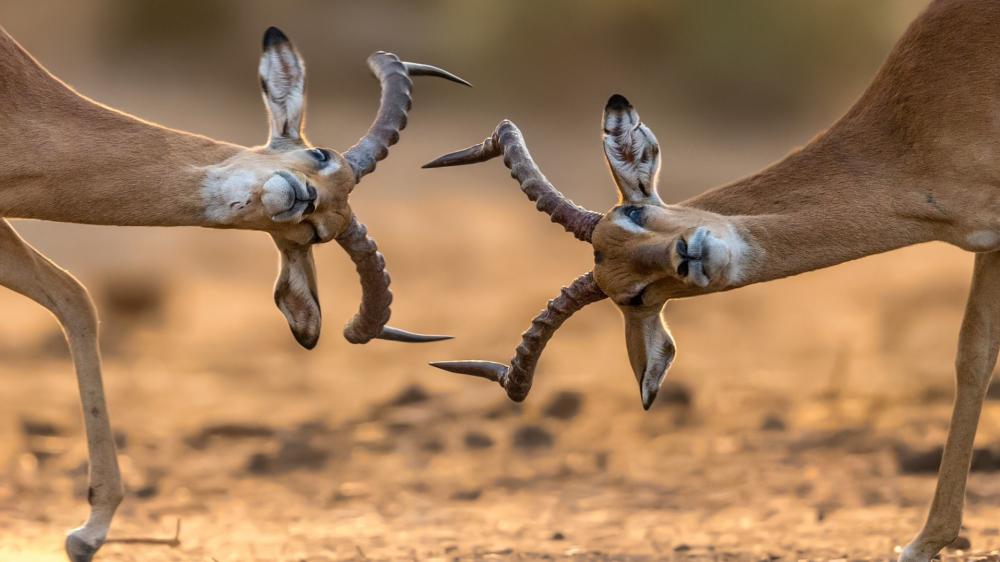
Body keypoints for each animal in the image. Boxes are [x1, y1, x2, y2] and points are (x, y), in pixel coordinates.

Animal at [426, 1, 1000, 560]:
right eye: (633, 295)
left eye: (635, 213)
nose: (689, 254)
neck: (915, 126)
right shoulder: (989, 241)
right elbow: (973, 358)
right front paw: (925, 543)